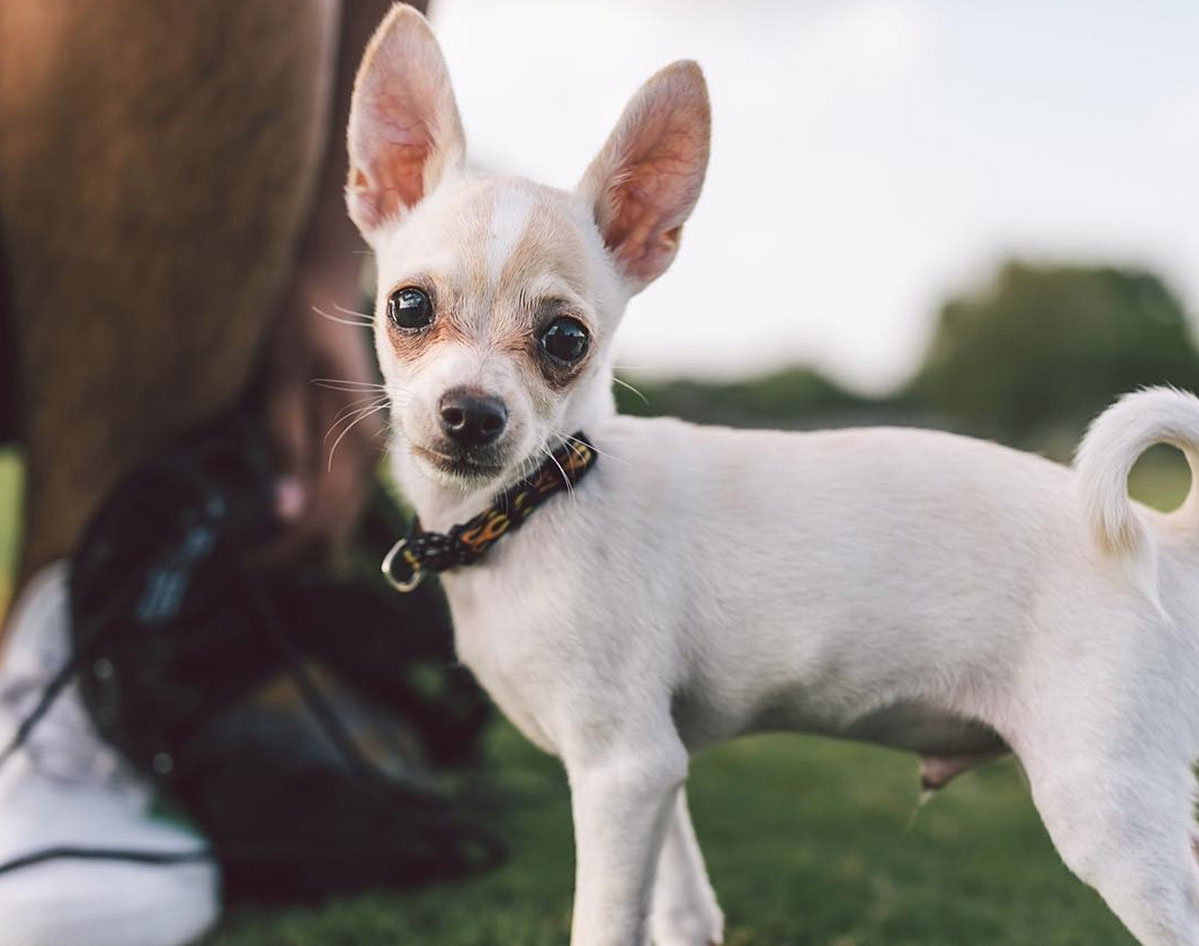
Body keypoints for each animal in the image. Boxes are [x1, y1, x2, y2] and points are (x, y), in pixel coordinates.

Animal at [342, 9, 1199, 944]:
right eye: (409, 307)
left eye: (566, 340)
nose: (472, 413)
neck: (528, 510)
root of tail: (1163, 532)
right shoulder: (657, 771)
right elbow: (680, 909)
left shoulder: (619, 769)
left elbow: (601, 921)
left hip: (1103, 801)